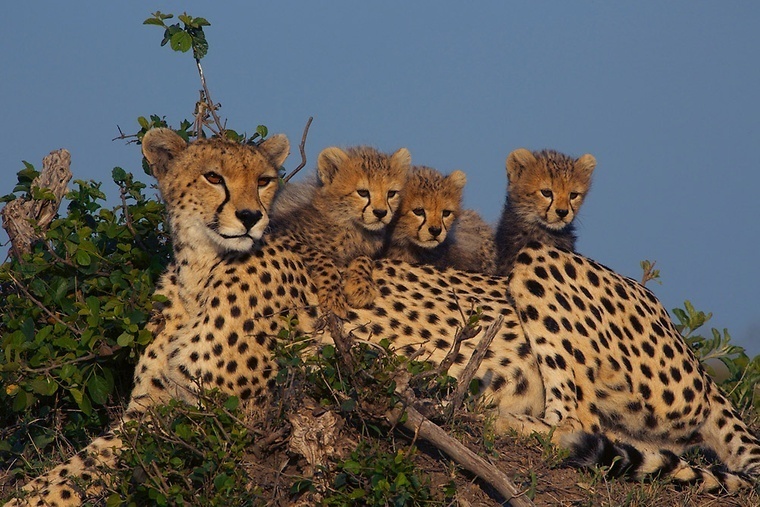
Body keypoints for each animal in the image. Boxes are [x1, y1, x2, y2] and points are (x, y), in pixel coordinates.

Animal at [268, 145, 410, 316]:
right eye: (363, 192)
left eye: (391, 193)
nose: (381, 213)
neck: (352, 227)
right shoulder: (281, 235)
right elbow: (322, 258)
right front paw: (333, 297)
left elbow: (363, 259)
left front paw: (360, 287)